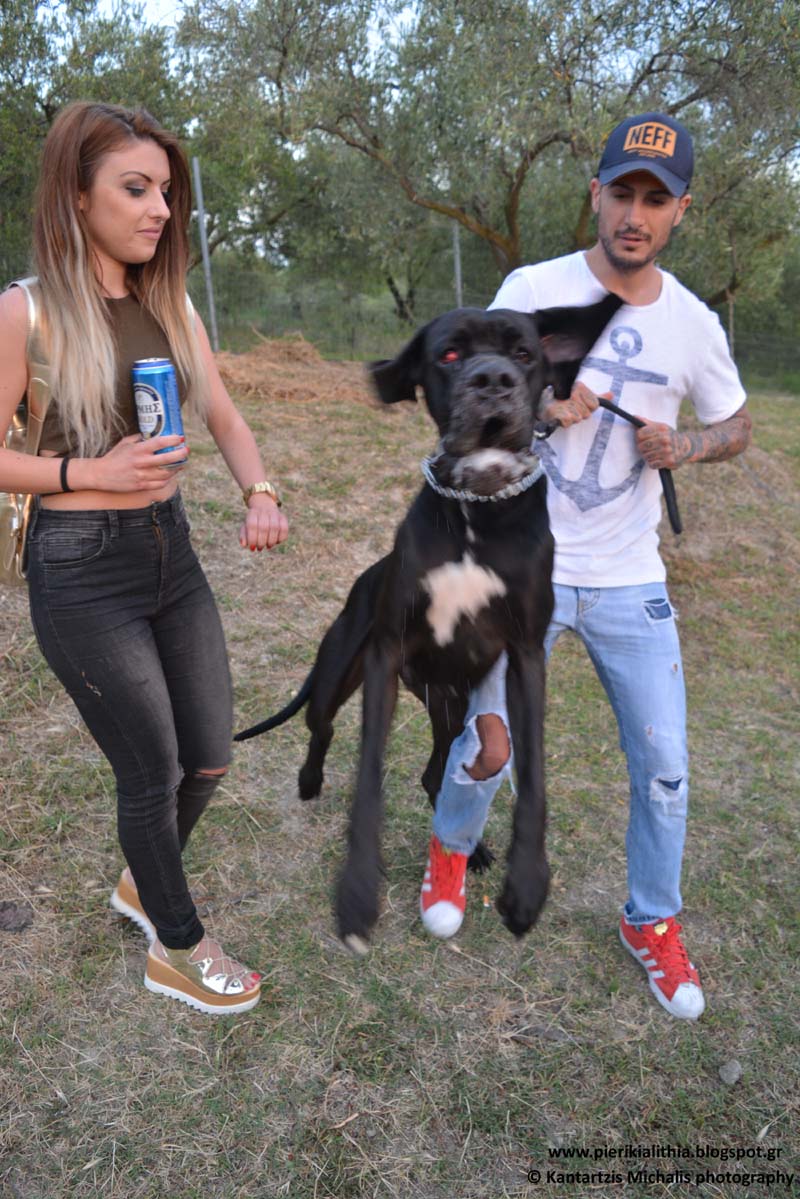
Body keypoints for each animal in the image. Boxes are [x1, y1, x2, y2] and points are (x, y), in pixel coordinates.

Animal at [236, 296, 622, 952]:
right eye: (449, 353)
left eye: (525, 353)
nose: (493, 380)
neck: (476, 512)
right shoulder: (386, 655)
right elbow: (368, 775)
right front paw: (357, 892)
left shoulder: (525, 657)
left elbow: (534, 777)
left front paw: (526, 883)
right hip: (340, 671)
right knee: (322, 728)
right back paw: (310, 780)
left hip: (457, 709)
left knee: (438, 770)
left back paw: (477, 849)